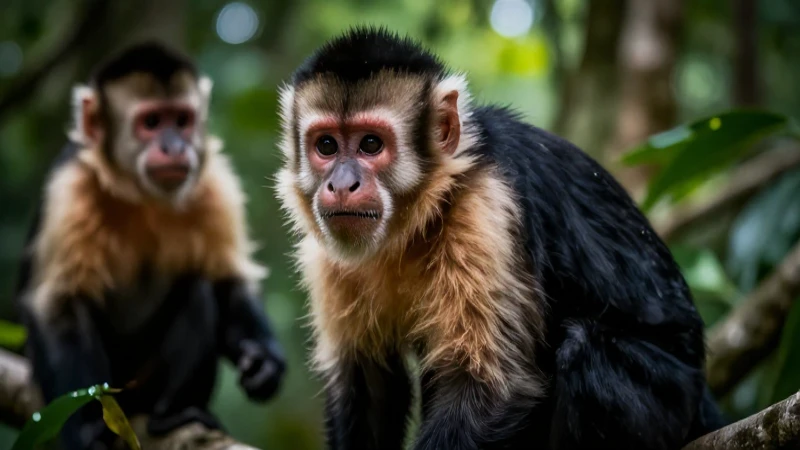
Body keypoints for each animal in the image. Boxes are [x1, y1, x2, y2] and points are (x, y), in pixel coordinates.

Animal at [13, 41, 286, 449]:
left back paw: (172, 414)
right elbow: (57, 306)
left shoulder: (214, 183)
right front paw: (84, 427)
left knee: (199, 292)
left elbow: (227, 282)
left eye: (183, 121)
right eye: (152, 122)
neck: (140, 195)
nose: (174, 146)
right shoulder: (68, 185)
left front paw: (265, 362)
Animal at [274, 27, 727, 450]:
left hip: (670, 398)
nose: (341, 184)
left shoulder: (485, 207)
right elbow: (368, 386)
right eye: (327, 146)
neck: (413, 223)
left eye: (371, 144)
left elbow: (494, 389)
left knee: (582, 350)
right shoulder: (327, 252)